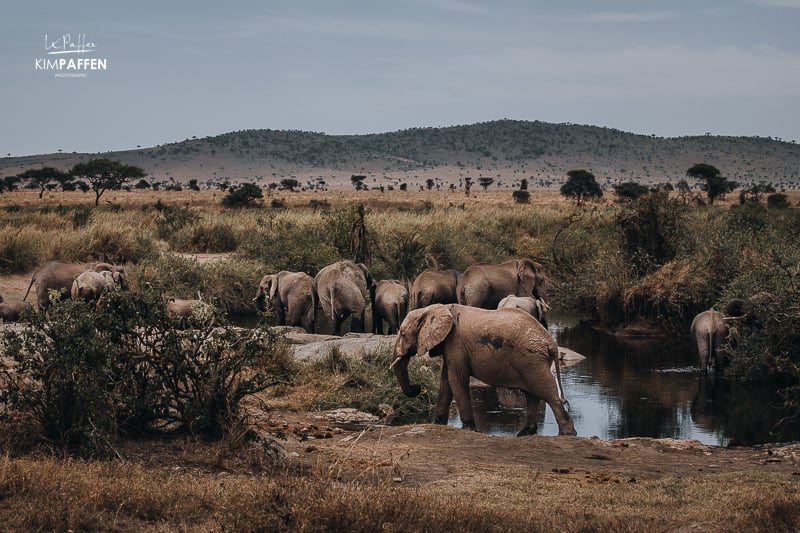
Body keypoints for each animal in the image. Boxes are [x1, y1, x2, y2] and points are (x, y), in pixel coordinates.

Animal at [392, 304, 576, 436]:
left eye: (403, 334)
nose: (418, 388)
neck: (434, 309)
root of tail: (551, 343)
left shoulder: (455, 342)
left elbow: (456, 378)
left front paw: (468, 428)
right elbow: (446, 380)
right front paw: (437, 423)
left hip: (532, 360)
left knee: (547, 393)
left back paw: (568, 433)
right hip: (531, 360)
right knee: (532, 395)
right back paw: (526, 432)